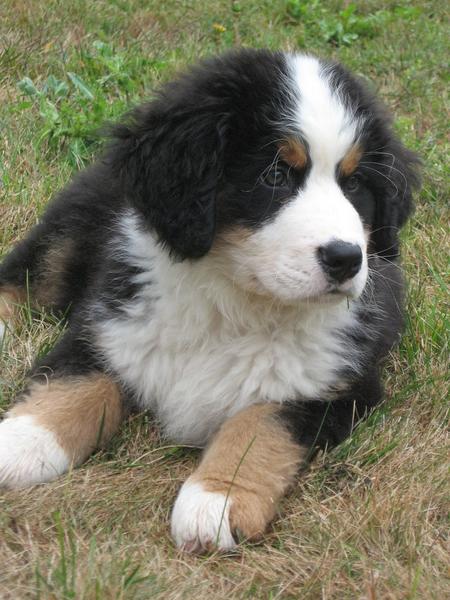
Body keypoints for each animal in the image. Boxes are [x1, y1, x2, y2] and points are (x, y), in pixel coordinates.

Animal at [1, 51, 420, 552]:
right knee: (27, 276)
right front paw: (24, 440)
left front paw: (218, 499)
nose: (346, 259)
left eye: (355, 184)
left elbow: (261, 423)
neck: (234, 302)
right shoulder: (110, 321)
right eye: (275, 175)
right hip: (76, 222)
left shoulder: (339, 383)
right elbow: (77, 381)